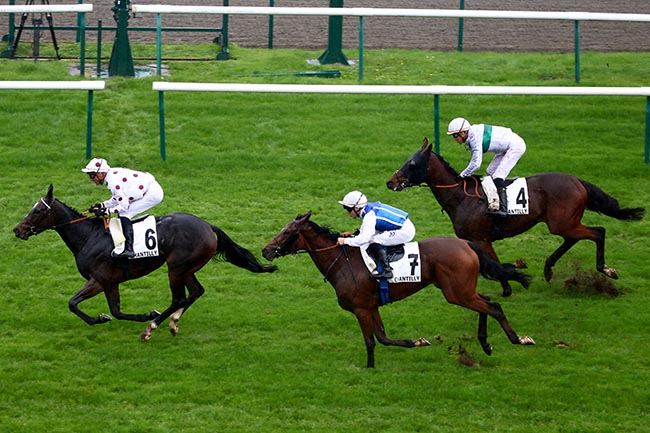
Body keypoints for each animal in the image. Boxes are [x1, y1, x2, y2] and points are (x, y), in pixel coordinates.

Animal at [13, 184, 276, 340]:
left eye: (37, 211)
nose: (18, 230)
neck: (89, 236)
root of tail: (207, 226)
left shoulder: (99, 279)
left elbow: (73, 304)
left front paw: (108, 318)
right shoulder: (111, 282)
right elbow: (116, 311)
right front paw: (114, 317)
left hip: (176, 268)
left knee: (179, 298)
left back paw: (152, 327)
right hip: (186, 267)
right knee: (196, 292)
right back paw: (173, 322)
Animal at [260, 211, 536, 366]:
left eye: (287, 232)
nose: (265, 250)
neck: (342, 262)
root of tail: (467, 244)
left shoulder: (361, 308)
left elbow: (371, 341)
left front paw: (369, 368)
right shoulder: (372, 306)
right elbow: (383, 337)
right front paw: (416, 341)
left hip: (456, 292)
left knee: (494, 306)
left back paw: (519, 339)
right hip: (463, 290)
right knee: (487, 302)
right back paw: (485, 344)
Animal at [384, 137, 644, 296]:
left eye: (412, 163)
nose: (390, 182)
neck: (461, 197)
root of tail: (577, 180)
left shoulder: (481, 238)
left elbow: (496, 264)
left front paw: (509, 284)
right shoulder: (476, 241)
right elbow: (495, 264)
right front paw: (511, 279)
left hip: (563, 222)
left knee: (598, 232)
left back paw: (605, 269)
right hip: (563, 223)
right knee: (574, 238)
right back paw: (548, 269)